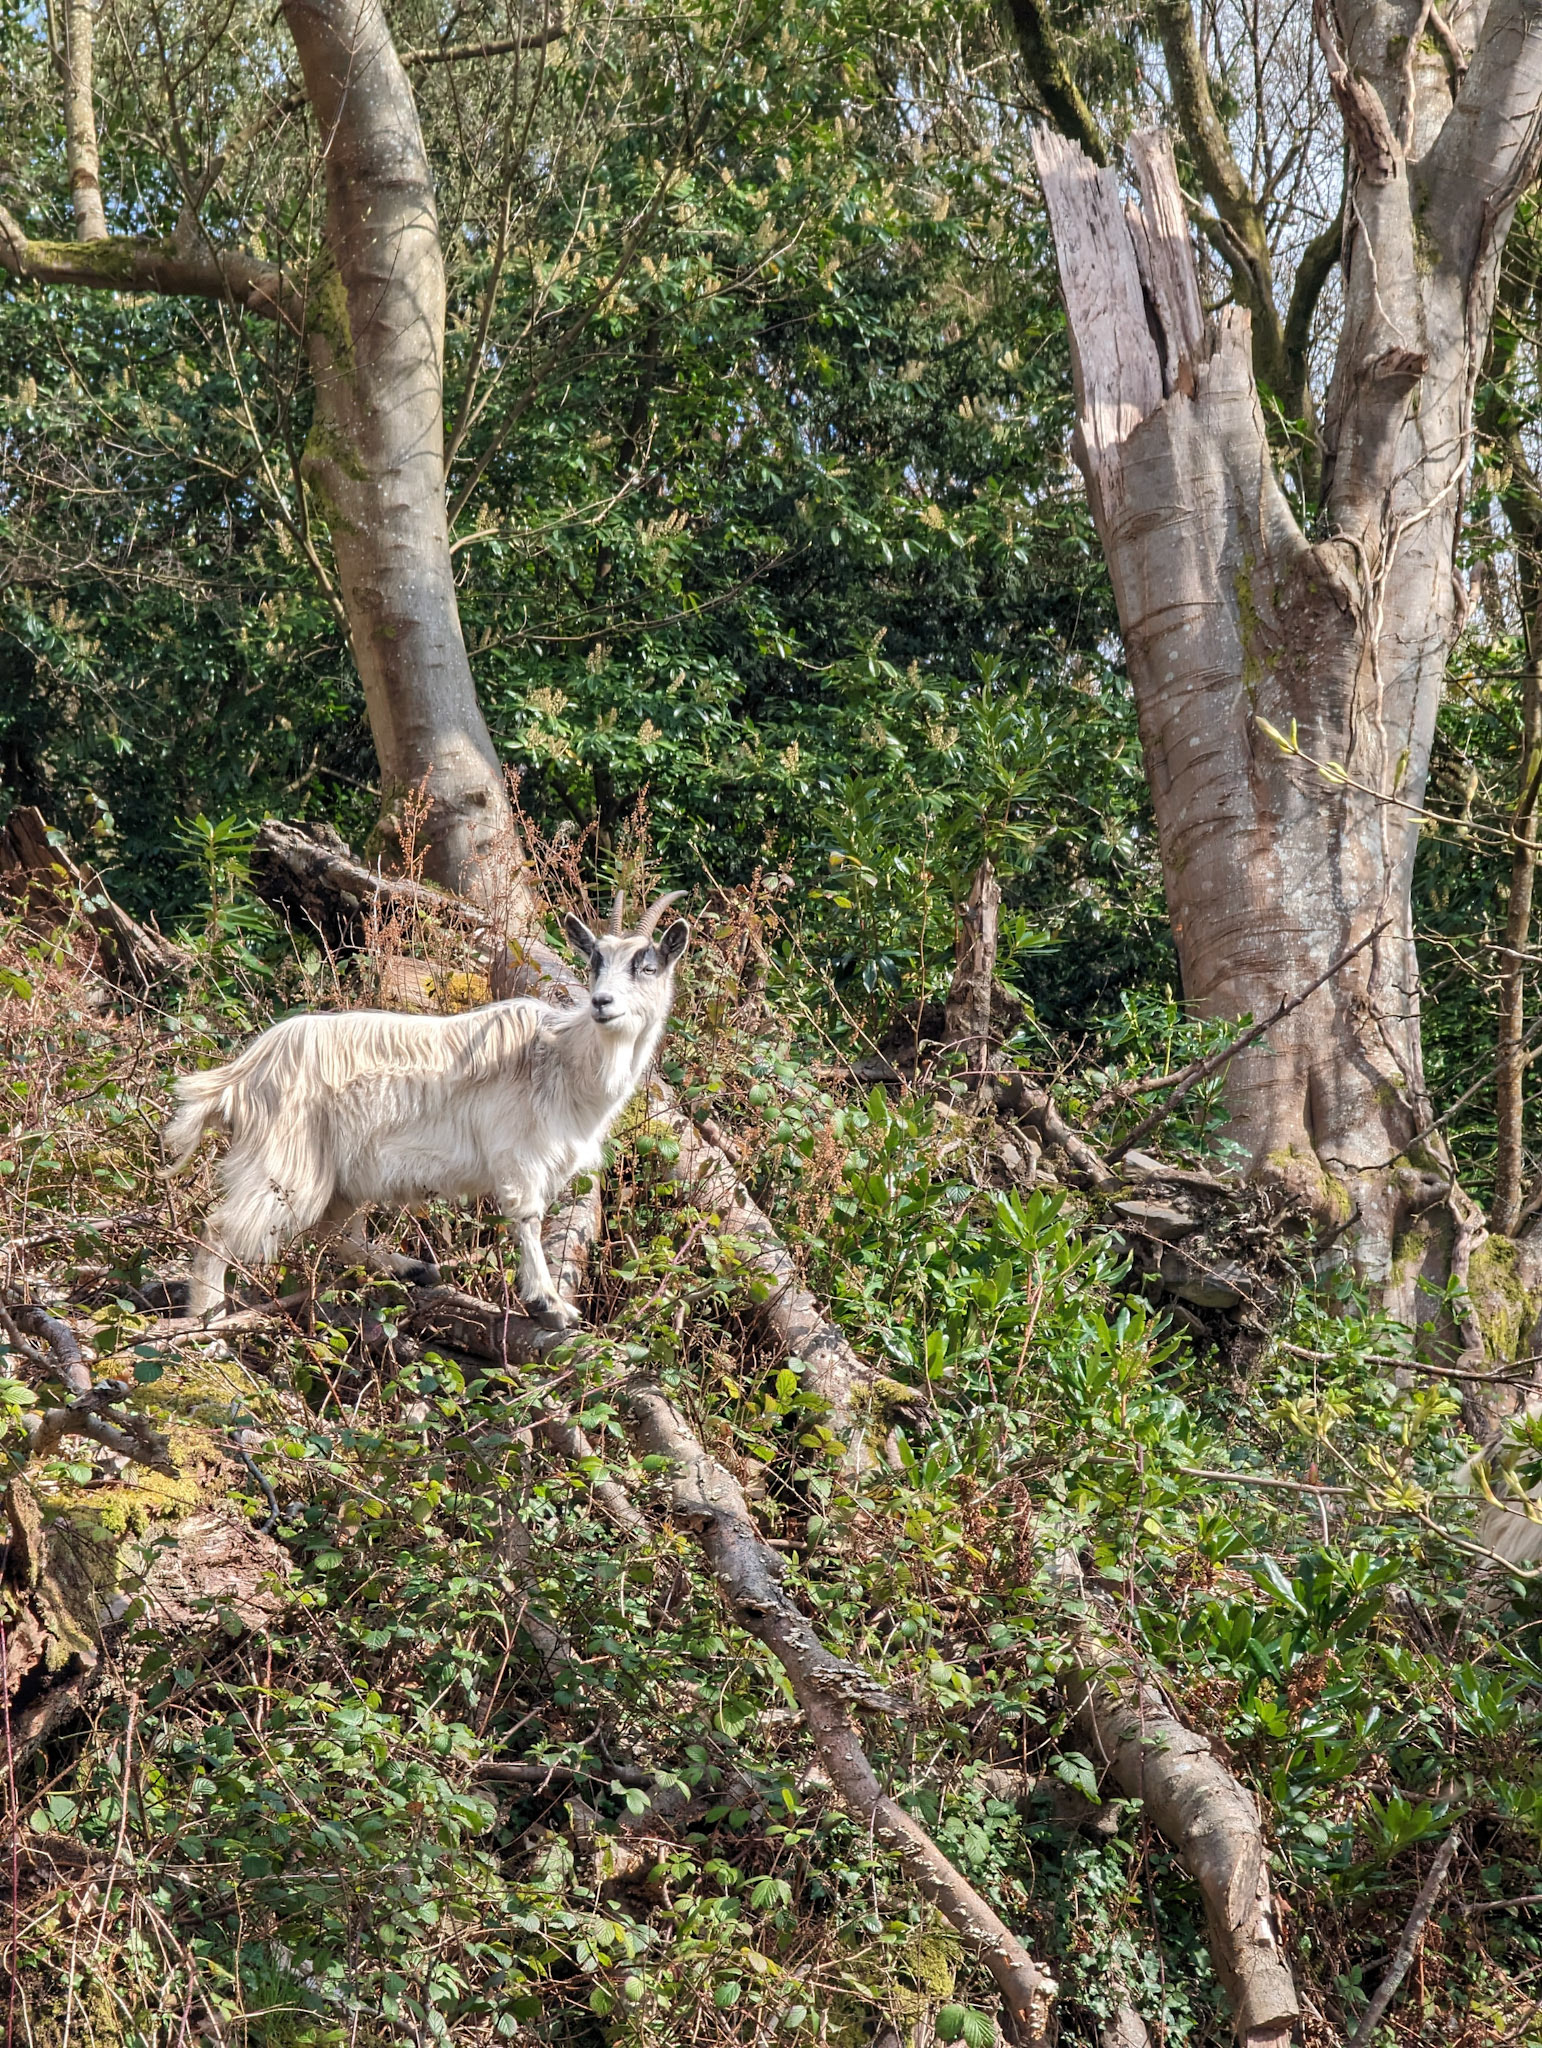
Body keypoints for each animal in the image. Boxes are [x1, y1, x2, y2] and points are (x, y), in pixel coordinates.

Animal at [164, 889, 690, 1326]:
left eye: (647, 966)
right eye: (595, 962)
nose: (602, 1002)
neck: (563, 1059)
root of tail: (240, 1076)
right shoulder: (518, 1156)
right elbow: (528, 1219)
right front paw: (549, 1304)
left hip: (338, 1176)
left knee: (338, 1237)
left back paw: (413, 1269)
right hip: (288, 1164)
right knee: (220, 1229)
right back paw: (208, 1326)